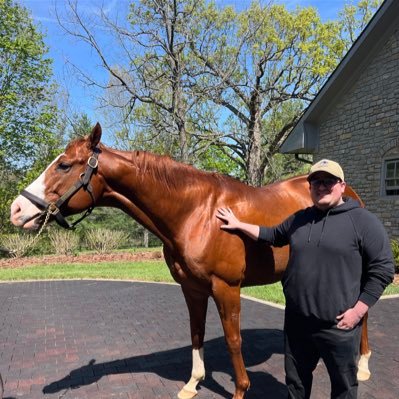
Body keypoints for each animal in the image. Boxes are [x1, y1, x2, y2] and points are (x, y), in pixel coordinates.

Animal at [8, 122, 372, 399]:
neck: (196, 213)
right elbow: (196, 333)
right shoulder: (192, 289)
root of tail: (350, 193)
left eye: (64, 165)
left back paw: (363, 366)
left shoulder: (227, 288)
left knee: (363, 313)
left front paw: (240, 390)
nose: (16, 209)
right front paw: (192, 384)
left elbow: (233, 341)